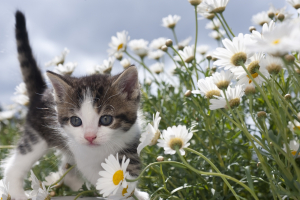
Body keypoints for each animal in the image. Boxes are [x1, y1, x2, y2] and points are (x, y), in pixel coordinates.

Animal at [1, 10, 148, 200]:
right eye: (76, 121)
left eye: (106, 119)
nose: (90, 137)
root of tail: (42, 92)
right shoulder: (83, 156)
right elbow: (105, 180)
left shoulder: (129, 140)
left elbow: (129, 172)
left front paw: (136, 193)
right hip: (36, 136)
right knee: (15, 165)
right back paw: (18, 193)